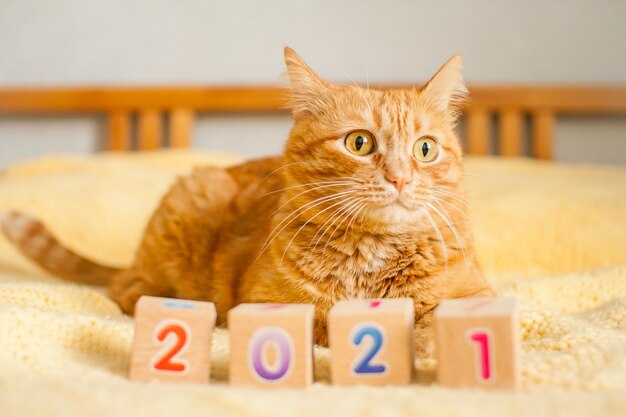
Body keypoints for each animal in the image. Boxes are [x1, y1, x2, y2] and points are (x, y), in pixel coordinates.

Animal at [3, 48, 492, 354]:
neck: (372, 257)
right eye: (359, 142)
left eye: (425, 149)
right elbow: (328, 323)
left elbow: (436, 318)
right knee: (126, 291)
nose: (400, 178)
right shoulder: (267, 306)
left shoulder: (476, 295)